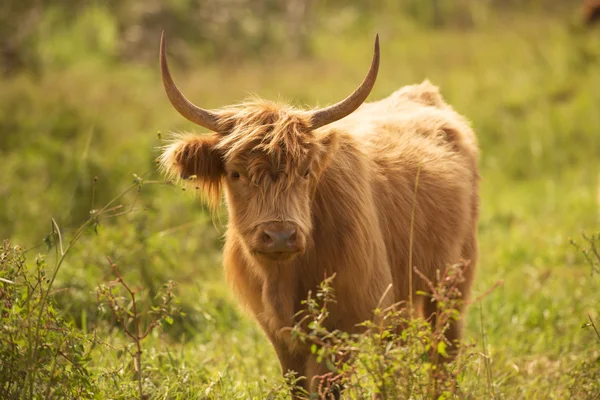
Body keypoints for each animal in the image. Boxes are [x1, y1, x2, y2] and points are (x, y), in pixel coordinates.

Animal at [157, 32, 480, 396]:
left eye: (306, 171)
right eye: (236, 173)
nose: (280, 236)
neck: (286, 278)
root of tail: (425, 93)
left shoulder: (343, 326)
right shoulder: (279, 335)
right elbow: (297, 385)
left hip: (452, 279)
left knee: (443, 350)